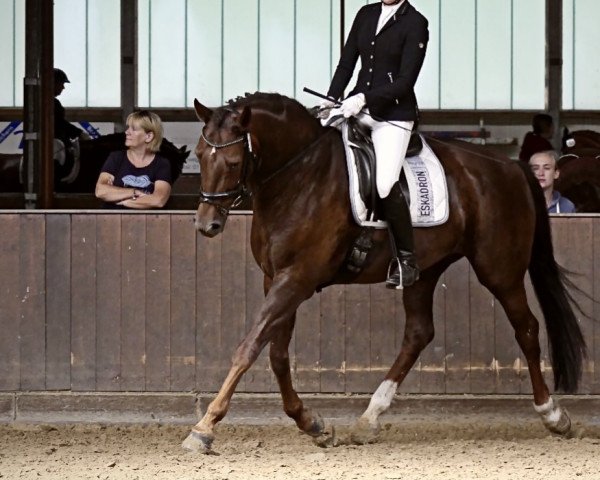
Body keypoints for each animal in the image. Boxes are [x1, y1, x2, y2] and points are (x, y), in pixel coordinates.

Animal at [184, 92, 584, 452]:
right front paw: (312, 423)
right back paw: (369, 419)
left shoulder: (296, 278)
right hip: (425, 269)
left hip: (500, 269)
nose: (206, 225)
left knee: (526, 328)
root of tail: (511, 166)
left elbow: (248, 348)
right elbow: (277, 355)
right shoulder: (277, 278)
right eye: (200, 156)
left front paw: (204, 428)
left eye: (233, 162)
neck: (299, 175)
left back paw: (553, 414)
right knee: (419, 333)